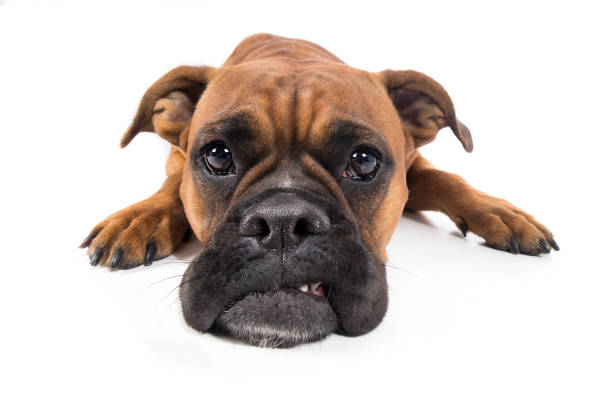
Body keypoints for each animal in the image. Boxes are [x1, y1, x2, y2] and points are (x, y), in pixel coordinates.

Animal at [81, 34, 560, 348]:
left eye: (364, 161)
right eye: (217, 156)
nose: (282, 221)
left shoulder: (413, 166)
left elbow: (448, 178)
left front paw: (499, 213)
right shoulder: (178, 160)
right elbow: (170, 187)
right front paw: (140, 218)